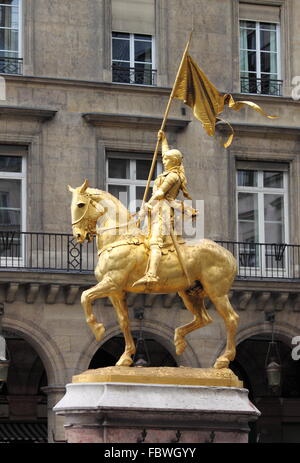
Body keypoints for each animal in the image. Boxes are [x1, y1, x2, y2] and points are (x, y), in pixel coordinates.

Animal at [68, 180, 239, 370]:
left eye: (80, 204)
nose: (78, 235)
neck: (120, 238)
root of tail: (229, 255)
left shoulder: (112, 282)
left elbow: (84, 296)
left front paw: (97, 329)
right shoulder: (115, 292)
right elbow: (123, 320)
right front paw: (125, 357)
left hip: (216, 293)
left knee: (231, 319)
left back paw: (223, 359)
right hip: (189, 293)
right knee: (204, 319)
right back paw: (179, 340)